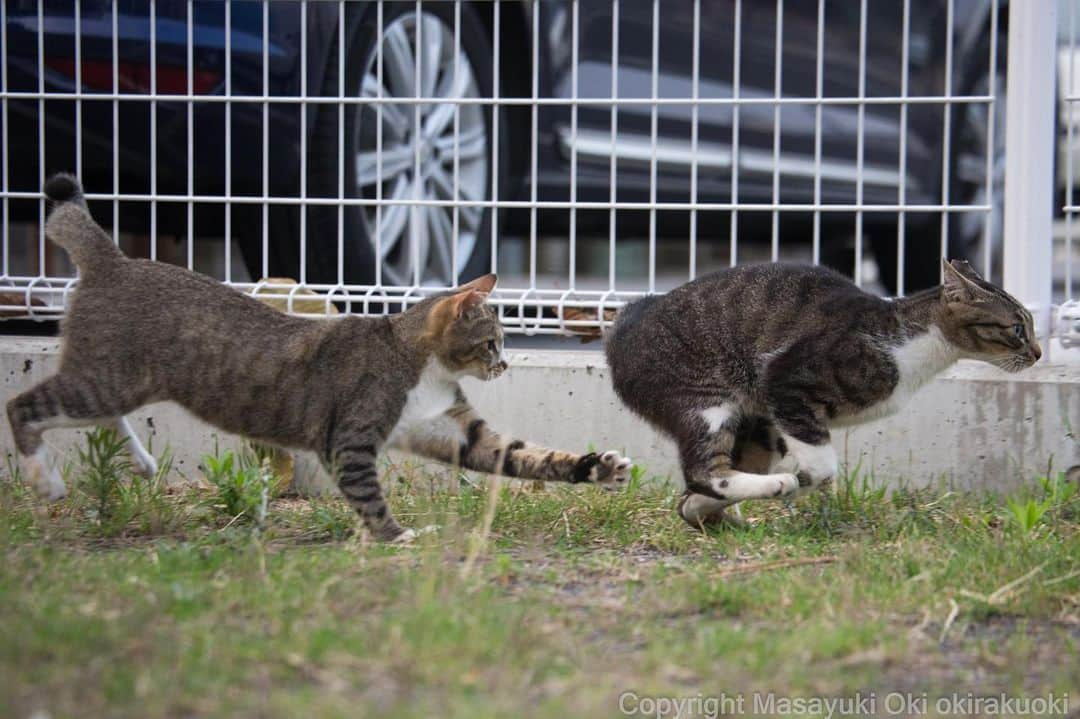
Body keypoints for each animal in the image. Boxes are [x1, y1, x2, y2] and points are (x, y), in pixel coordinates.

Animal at [8, 175, 630, 539]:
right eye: (493, 342)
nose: (504, 365)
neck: (418, 364)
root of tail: (113, 260)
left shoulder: (450, 427)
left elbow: (524, 454)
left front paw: (597, 467)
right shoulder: (350, 436)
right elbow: (367, 492)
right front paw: (397, 537)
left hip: (114, 379)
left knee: (93, 414)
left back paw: (139, 462)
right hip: (109, 376)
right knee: (23, 406)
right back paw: (45, 480)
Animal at [609, 260, 1036, 524]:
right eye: (1017, 328)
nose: (1038, 353)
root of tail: (619, 330)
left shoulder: (778, 412)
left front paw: (697, 509)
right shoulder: (784, 381)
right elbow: (822, 466)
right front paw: (798, 481)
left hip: (756, 425)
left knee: (712, 475)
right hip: (706, 400)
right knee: (704, 470)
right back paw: (772, 485)